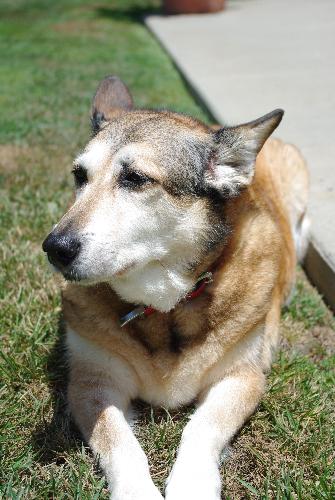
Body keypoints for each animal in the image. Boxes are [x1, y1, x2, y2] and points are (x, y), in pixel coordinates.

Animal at [43, 75, 312, 500]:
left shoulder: (243, 376)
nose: (55, 247)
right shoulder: (92, 381)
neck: (166, 307)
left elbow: (203, 425)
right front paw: (137, 491)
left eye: (135, 178)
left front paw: (192, 483)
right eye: (79, 176)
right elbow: (116, 438)